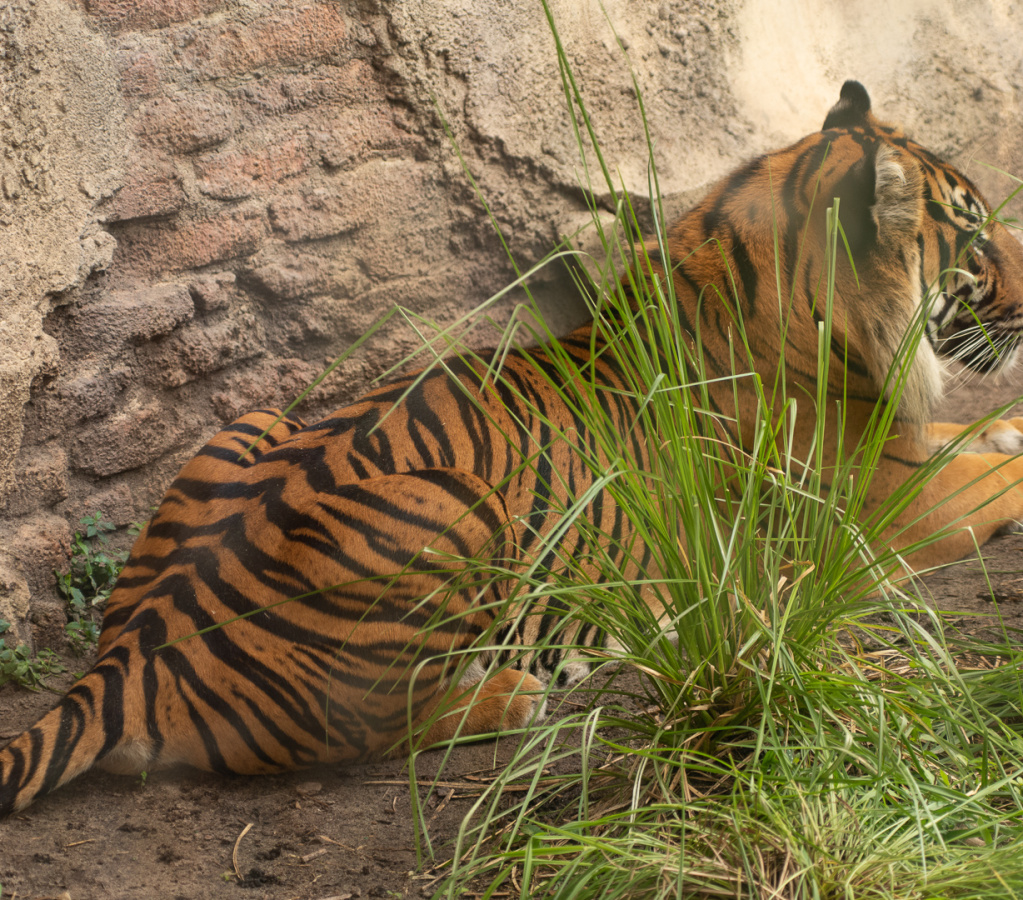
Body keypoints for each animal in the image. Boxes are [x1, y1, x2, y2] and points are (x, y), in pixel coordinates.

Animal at [3, 80, 1023, 816]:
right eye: (972, 236)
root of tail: (130, 657)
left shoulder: (910, 451)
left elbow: (978, 434)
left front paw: (1002, 420)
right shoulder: (879, 509)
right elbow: (1002, 473)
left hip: (248, 425)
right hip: (454, 506)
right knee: (363, 732)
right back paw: (508, 698)